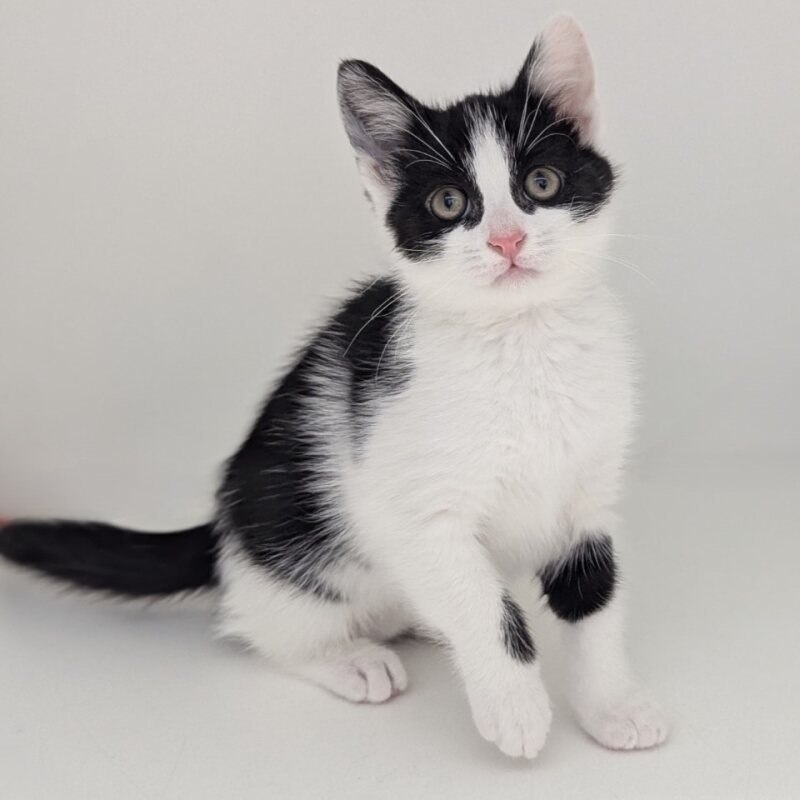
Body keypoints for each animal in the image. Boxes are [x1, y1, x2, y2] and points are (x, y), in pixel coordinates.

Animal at [0, 14, 668, 759]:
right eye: (449, 203)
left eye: (543, 183)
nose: (506, 241)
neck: (521, 343)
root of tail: (223, 529)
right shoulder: (416, 512)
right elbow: (483, 604)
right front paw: (516, 705)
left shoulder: (588, 497)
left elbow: (596, 603)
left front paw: (613, 704)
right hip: (297, 546)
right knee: (263, 626)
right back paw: (350, 659)